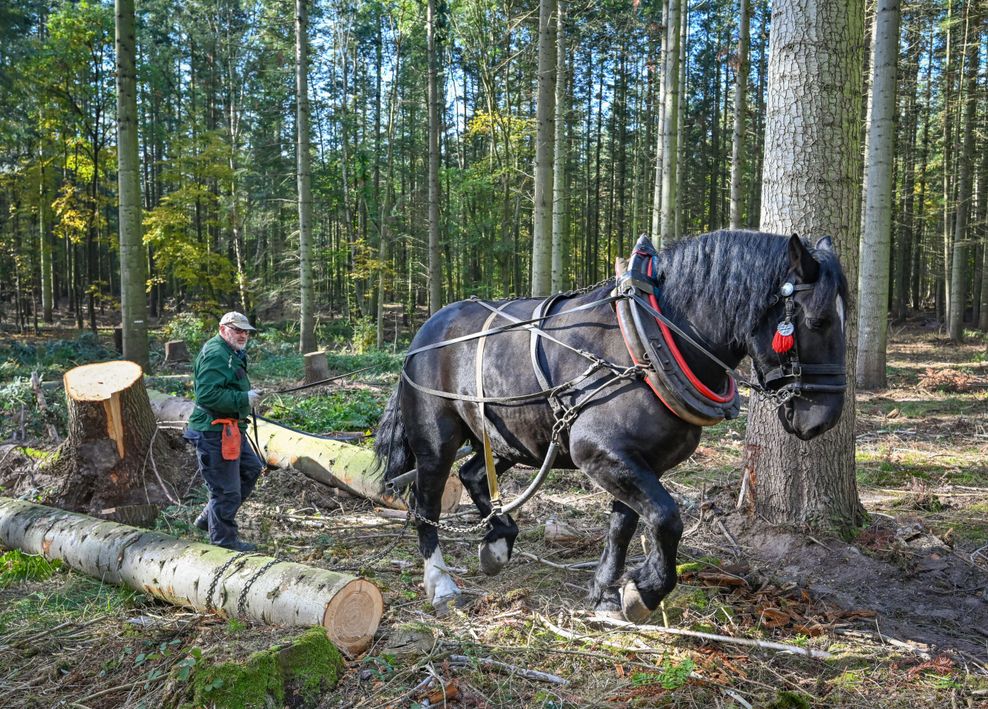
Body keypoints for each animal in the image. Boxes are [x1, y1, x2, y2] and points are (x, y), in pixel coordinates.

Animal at [370, 230, 848, 624]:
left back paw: (498, 542)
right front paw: (645, 591)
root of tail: (424, 331)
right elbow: (666, 518)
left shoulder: (637, 460)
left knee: (472, 473)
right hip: (436, 440)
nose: (822, 419)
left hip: (508, 438)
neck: (649, 342)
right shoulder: (599, 452)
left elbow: (625, 525)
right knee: (426, 504)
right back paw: (442, 584)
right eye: (818, 321)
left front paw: (605, 595)